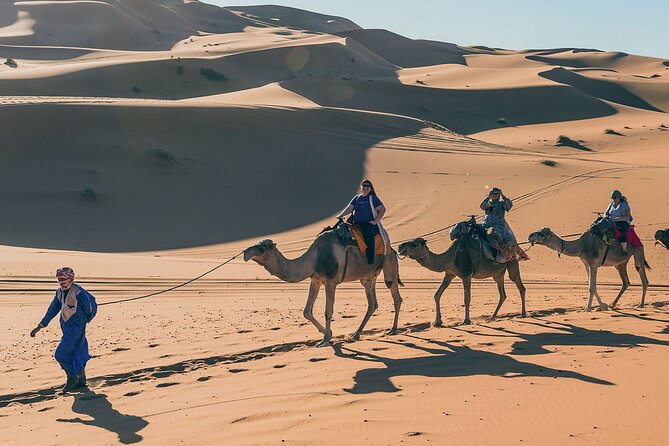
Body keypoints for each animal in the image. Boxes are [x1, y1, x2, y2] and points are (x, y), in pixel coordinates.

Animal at [243, 230, 403, 347]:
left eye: (262, 248)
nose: (245, 253)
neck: (314, 258)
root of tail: (393, 250)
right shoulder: (315, 280)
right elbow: (307, 311)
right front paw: (329, 333)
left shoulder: (330, 281)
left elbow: (328, 311)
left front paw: (325, 340)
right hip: (368, 277)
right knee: (372, 303)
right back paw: (356, 334)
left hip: (389, 264)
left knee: (395, 295)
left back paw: (393, 330)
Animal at [397, 234, 527, 326]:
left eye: (414, 244)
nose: (400, 247)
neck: (451, 257)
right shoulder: (449, 274)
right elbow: (437, 294)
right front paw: (437, 321)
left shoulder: (466, 275)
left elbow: (467, 298)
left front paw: (466, 321)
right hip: (498, 274)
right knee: (502, 294)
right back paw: (492, 317)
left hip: (512, 262)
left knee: (520, 286)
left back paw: (523, 314)